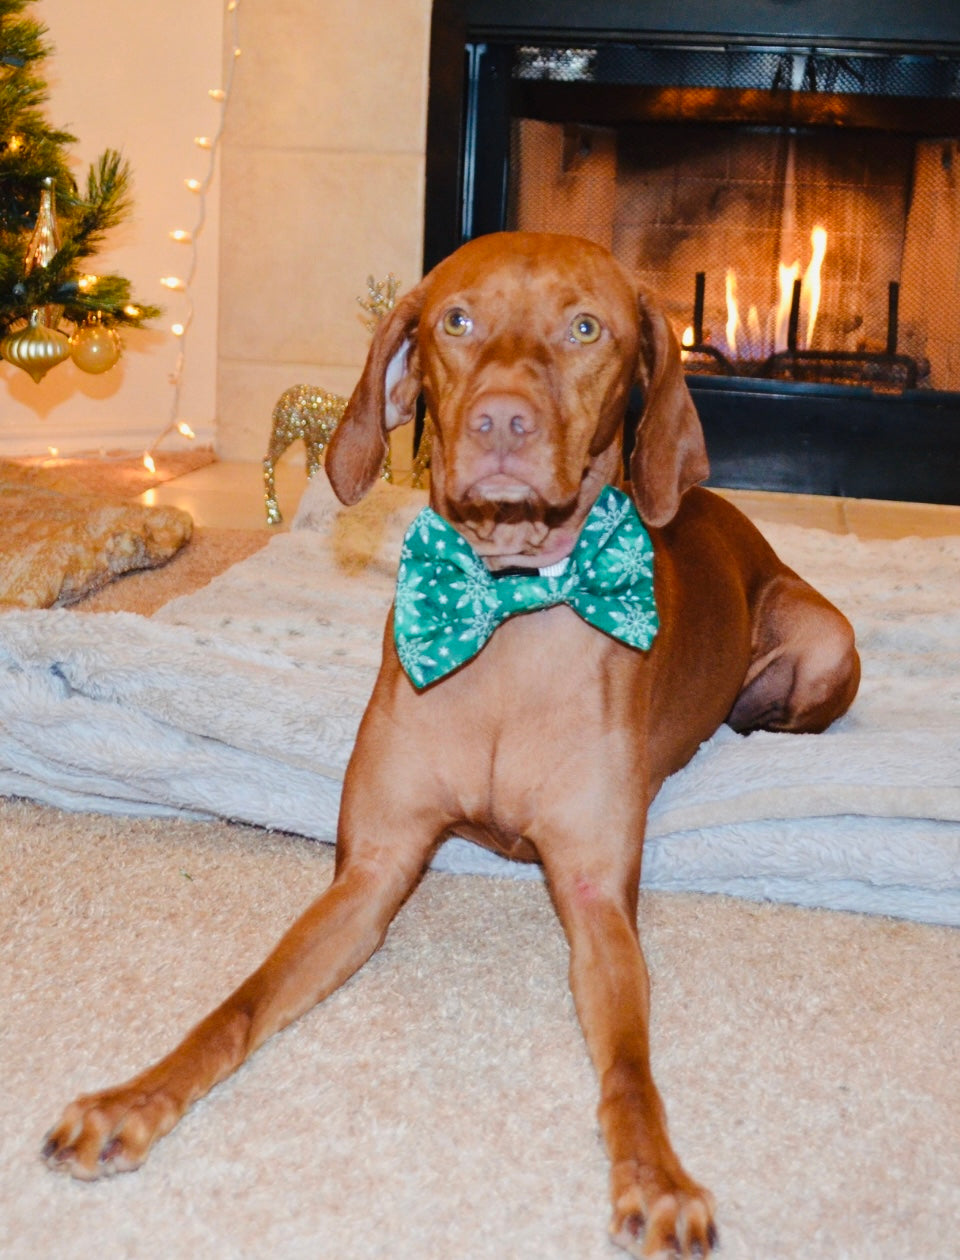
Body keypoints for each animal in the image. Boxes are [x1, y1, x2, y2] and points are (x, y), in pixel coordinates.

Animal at [43, 231, 861, 1254]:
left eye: (585, 327)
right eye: (457, 321)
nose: (501, 422)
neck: (505, 610)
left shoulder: (595, 897)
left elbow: (631, 1068)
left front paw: (657, 1176)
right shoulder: (371, 873)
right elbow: (237, 1007)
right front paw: (136, 1097)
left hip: (827, 642)